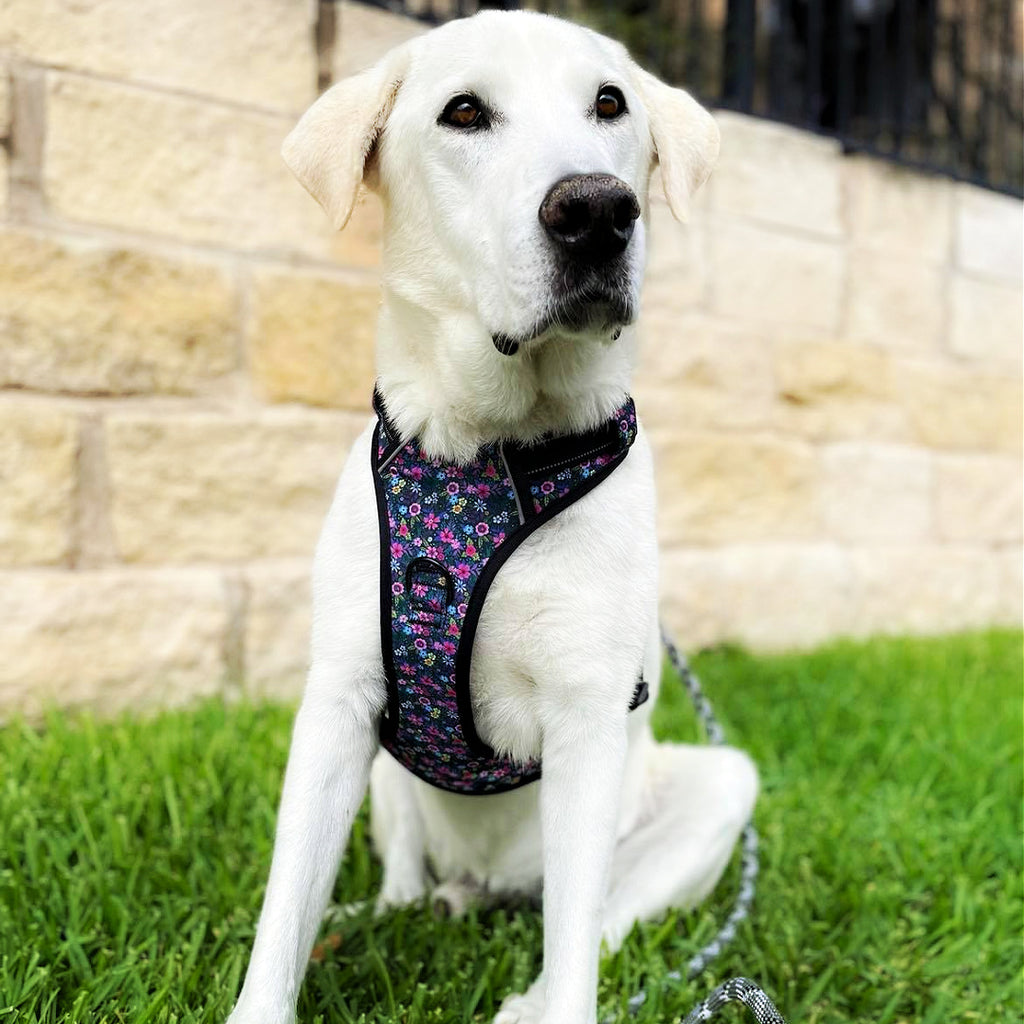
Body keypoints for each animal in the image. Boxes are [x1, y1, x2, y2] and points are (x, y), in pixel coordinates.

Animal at [228, 9, 757, 1024]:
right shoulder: (337, 701)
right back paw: (381, 912)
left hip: (716, 788)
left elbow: (581, 951)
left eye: (610, 103)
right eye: (464, 112)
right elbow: (282, 916)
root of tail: (486, 888)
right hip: (385, 776)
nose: (597, 211)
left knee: (599, 918)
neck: (490, 454)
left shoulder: (588, 719)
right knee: (402, 877)